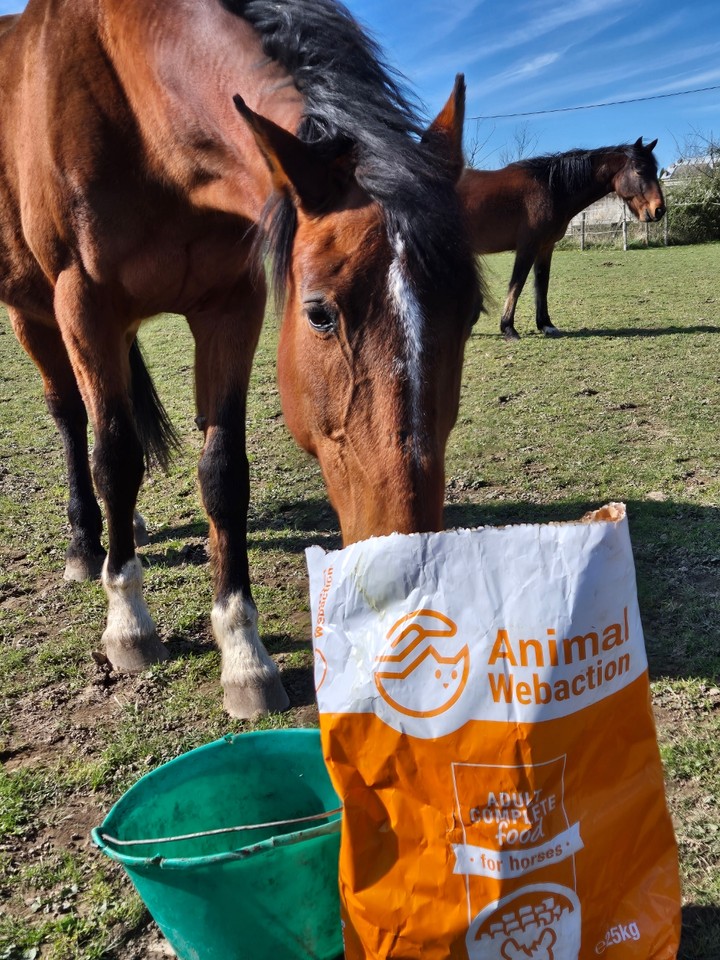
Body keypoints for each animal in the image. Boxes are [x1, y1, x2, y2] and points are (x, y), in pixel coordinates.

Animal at [0, 0, 483, 717]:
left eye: (471, 313)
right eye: (319, 313)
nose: (410, 567)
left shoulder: (230, 304)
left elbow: (223, 473)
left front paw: (243, 655)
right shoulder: (81, 300)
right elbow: (114, 456)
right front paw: (128, 624)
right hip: (34, 314)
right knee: (72, 420)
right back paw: (89, 545)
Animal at [459, 139, 665, 340]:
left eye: (655, 170)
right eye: (639, 170)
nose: (659, 210)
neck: (550, 188)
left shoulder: (546, 246)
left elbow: (542, 283)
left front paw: (546, 325)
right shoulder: (528, 247)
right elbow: (517, 283)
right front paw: (508, 327)